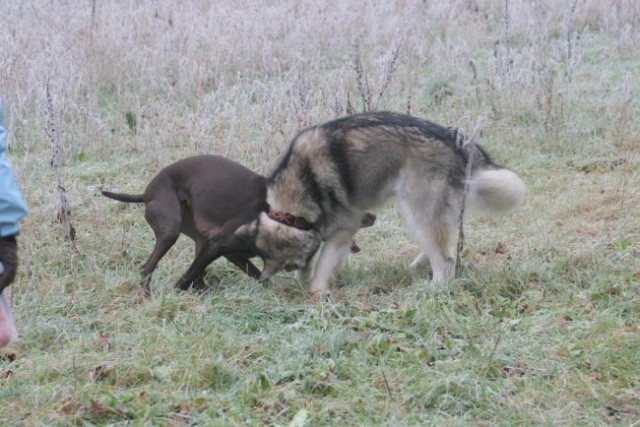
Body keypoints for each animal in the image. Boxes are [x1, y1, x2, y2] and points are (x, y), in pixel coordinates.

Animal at [235, 113, 524, 300]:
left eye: (289, 266)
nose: (264, 281)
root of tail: (456, 140)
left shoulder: (343, 231)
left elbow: (323, 265)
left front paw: (316, 292)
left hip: (416, 210)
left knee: (446, 258)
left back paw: (435, 288)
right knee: (443, 245)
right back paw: (417, 268)